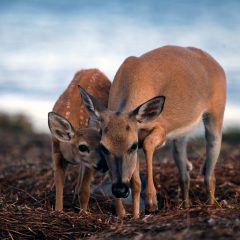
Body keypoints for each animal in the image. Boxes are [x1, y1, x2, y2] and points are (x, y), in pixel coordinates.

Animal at [48, 69, 111, 212]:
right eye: (82, 147)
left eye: (101, 145)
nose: (104, 165)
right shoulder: (56, 151)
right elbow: (59, 183)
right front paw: (59, 210)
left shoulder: (89, 163)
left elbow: (85, 188)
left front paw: (83, 211)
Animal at [79, 45, 226, 218]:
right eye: (103, 147)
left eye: (133, 146)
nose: (120, 189)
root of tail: (216, 64)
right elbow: (135, 183)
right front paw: (134, 215)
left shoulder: (162, 128)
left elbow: (148, 144)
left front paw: (151, 201)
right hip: (181, 135)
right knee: (184, 174)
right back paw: (186, 205)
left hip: (216, 113)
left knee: (210, 170)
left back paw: (211, 205)